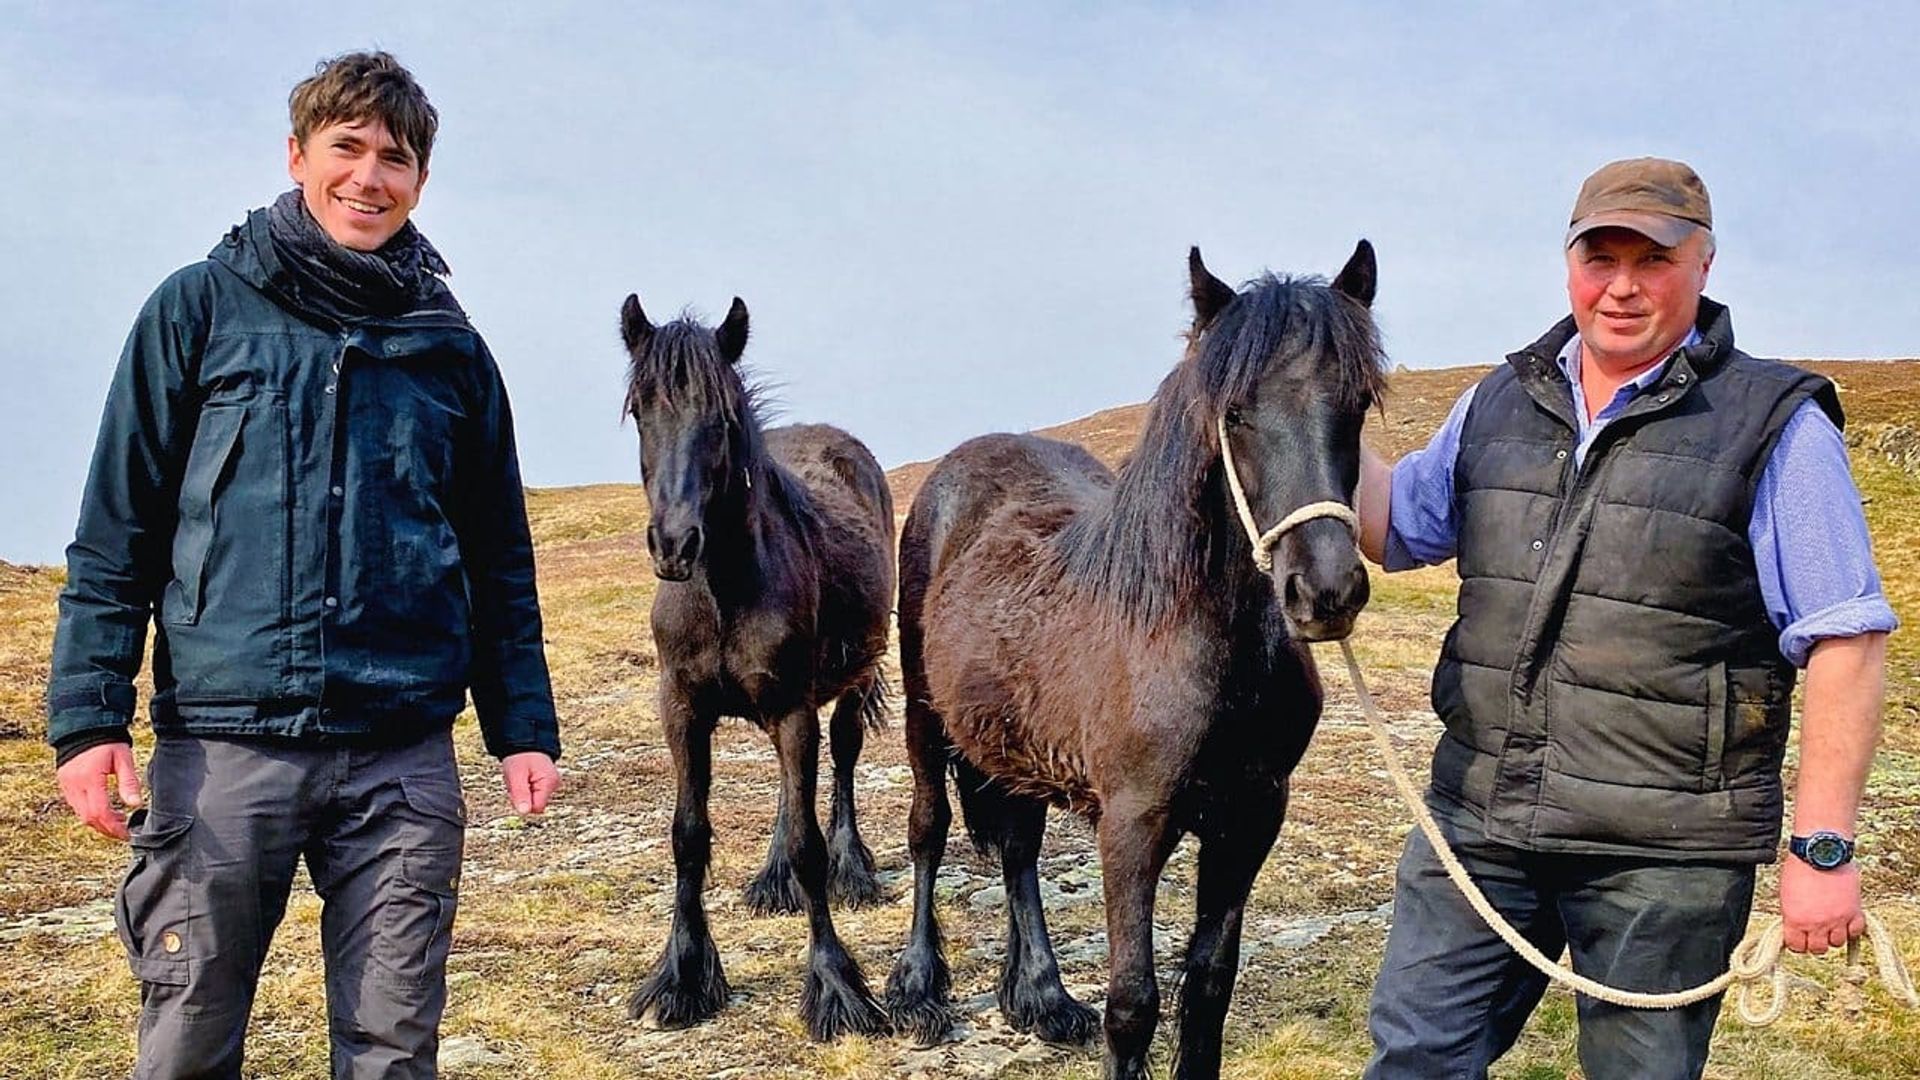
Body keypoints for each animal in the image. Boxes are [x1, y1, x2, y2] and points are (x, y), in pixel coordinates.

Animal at [622, 292, 898, 1037]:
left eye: (720, 420)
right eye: (641, 410)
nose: (674, 545)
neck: (723, 591)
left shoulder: (793, 710)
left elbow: (808, 844)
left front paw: (834, 986)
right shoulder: (681, 710)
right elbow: (688, 836)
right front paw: (684, 975)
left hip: (851, 683)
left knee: (842, 758)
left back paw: (852, 870)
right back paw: (773, 879)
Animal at [883, 245, 1382, 1076]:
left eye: (1359, 403)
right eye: (1234, 412)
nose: (1325, 590)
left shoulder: (1252, 817)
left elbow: (1209, 984)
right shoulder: (1132, 822)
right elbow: (1133, 1003)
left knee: (1018, 849)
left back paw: (1043, 997)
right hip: (927, 718)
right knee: (928, 828)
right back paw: (919, 988)